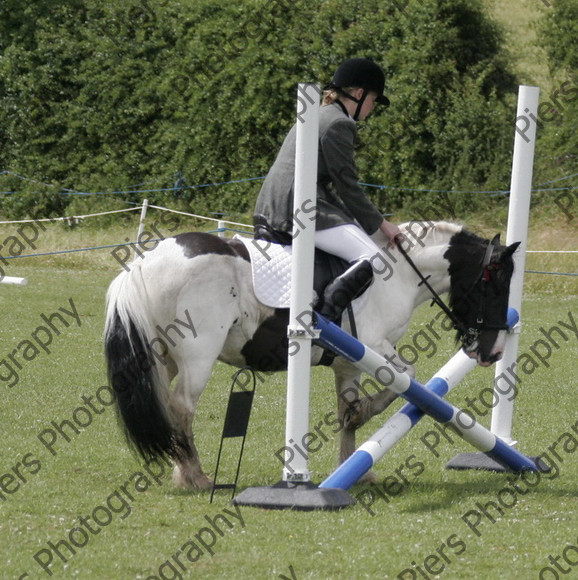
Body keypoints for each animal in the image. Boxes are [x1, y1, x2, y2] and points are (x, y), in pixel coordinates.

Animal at [102, 221, 516, 490]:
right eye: (496, 285)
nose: (494, 351)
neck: (398, 274)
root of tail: (141, 265)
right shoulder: (375, 346)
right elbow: (407, 376)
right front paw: (363, 417)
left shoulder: (350, 363)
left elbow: (347, 411)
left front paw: (355, 466)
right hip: (198, 353)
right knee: (182, 407)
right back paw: (196, 477)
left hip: (162, 358)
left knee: (168, 406)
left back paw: (181, 472)